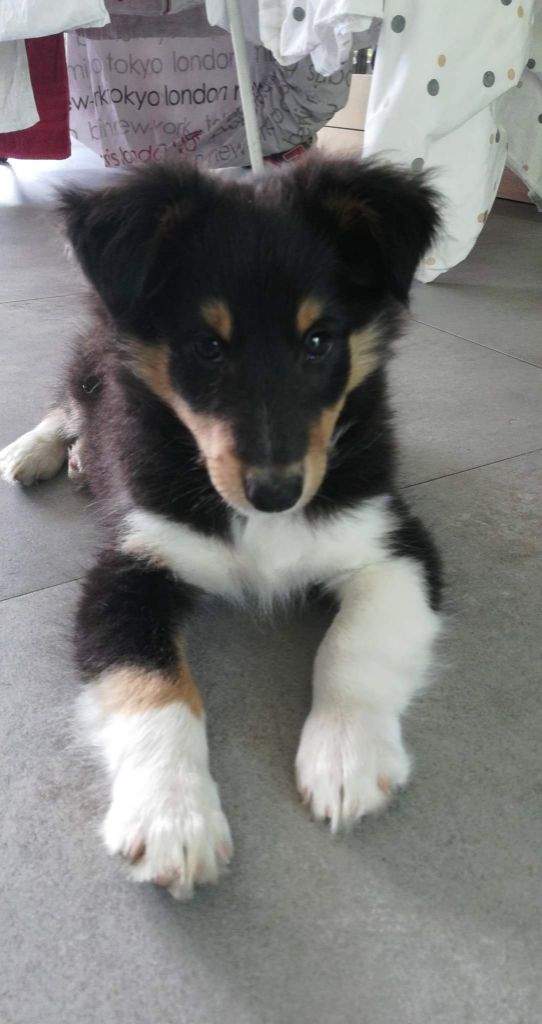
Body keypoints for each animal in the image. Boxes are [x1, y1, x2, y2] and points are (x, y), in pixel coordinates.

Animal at [0, 155, 443, 899]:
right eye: (206, 347)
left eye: (319, 341)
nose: (276, 494)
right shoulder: (131, 565)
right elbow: (151, 686)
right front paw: (173, 820)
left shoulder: (393, 544)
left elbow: (355, 647)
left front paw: (346, 758)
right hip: (92, 360)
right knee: (68, 402)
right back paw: (39, 451)